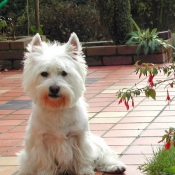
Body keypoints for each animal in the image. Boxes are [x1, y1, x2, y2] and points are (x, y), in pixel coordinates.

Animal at [17, 33, 126, 175]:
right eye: (44, 73)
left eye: (64, 72)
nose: (54, 88)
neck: (57, 109)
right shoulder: (41, 140)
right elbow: (45, 161)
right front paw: (46, 172)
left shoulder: (79, 136)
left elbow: (82, 157)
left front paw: (85, 171)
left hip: (96, 143)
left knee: (103, 155)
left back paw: (115, 166)